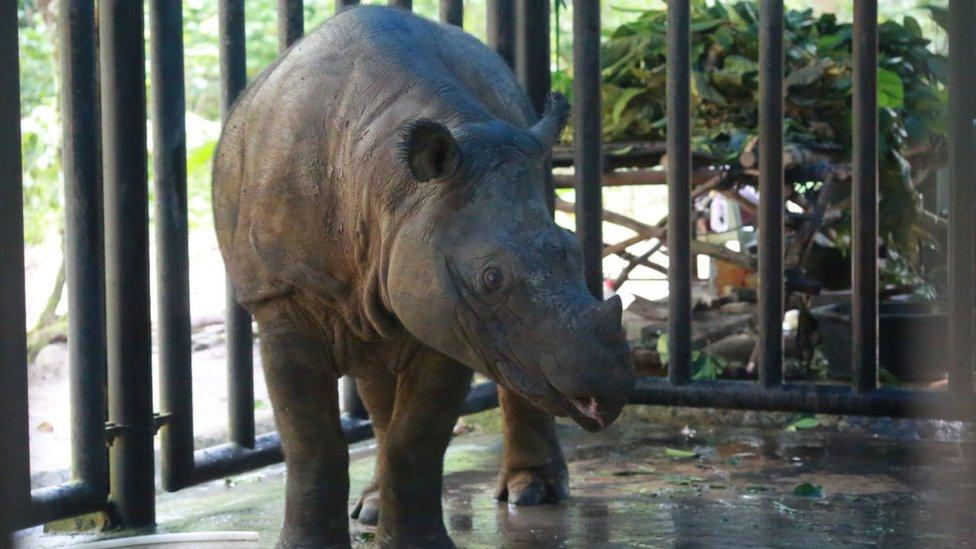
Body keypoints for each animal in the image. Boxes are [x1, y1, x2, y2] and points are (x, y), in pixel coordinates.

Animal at [214, 5, 636, 548]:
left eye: (572, 249)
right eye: (492, 278)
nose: (611, 387)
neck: (388, 189)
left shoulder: (449, 309)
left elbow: (417, 438)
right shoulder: (283, 297)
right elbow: (312, 443)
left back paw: (532, 496)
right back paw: (372, 508)